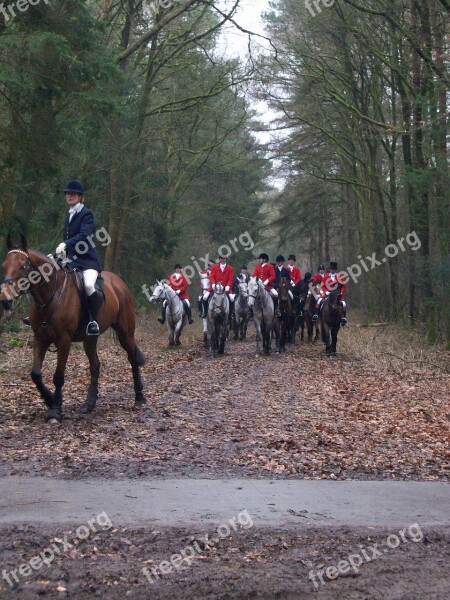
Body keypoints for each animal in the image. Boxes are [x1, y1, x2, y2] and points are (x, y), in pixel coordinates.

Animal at [0, 237, 147, 424]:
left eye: (23, 266)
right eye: (4, 265)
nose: (5, 300)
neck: (51, 294)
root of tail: (119, 281)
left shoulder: (64, 341)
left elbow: (58, 376)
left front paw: (55, 410)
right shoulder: (40, 338)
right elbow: (36, 374)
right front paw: (49, 400)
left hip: (125, 332)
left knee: (132, 359)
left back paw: (139, 397)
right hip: (89, 339)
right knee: (95, 366)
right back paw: (89, 404)